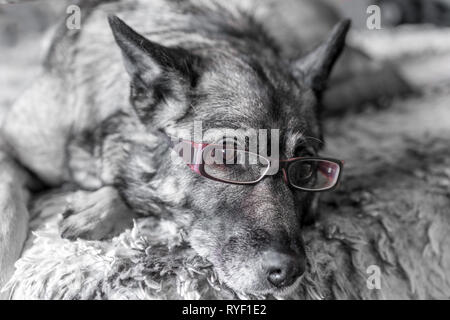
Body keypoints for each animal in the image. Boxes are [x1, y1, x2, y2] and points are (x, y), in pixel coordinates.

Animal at [0, 0, 404, 298]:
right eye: (225, 154)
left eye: (305, 169)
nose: (289, 272)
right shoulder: (11, 142)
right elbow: (7, 198)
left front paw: (104, 204)